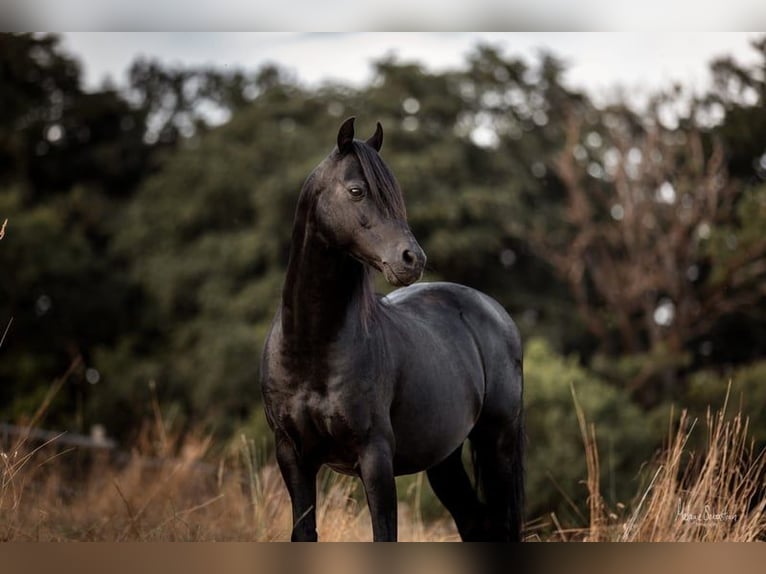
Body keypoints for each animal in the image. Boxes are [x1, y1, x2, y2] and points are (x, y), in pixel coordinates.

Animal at [260, 118, 524, 544]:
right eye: (356, 191)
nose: (412, 259)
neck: (311, 347)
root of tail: (496, 312)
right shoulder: (292, 455)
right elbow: (304, 532)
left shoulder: (375, 457)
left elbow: (384, 534)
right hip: (445, 458)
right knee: (474, 522)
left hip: (497, 443)